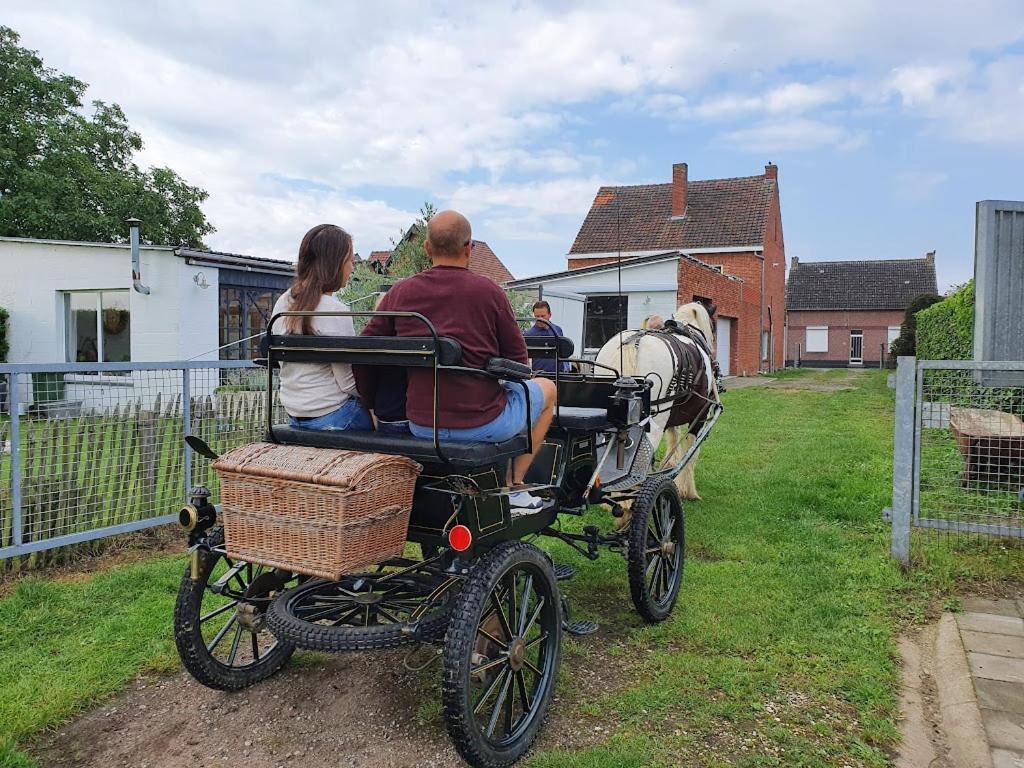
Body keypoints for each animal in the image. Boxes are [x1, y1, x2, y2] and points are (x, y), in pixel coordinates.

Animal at [593, 303, 720, 507]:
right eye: (713, 326)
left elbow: (674, 440)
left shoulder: (672, 416)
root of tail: (632, 343)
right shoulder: (700, 415)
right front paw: (688, 491)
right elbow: (691, 452)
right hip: (651, 427)